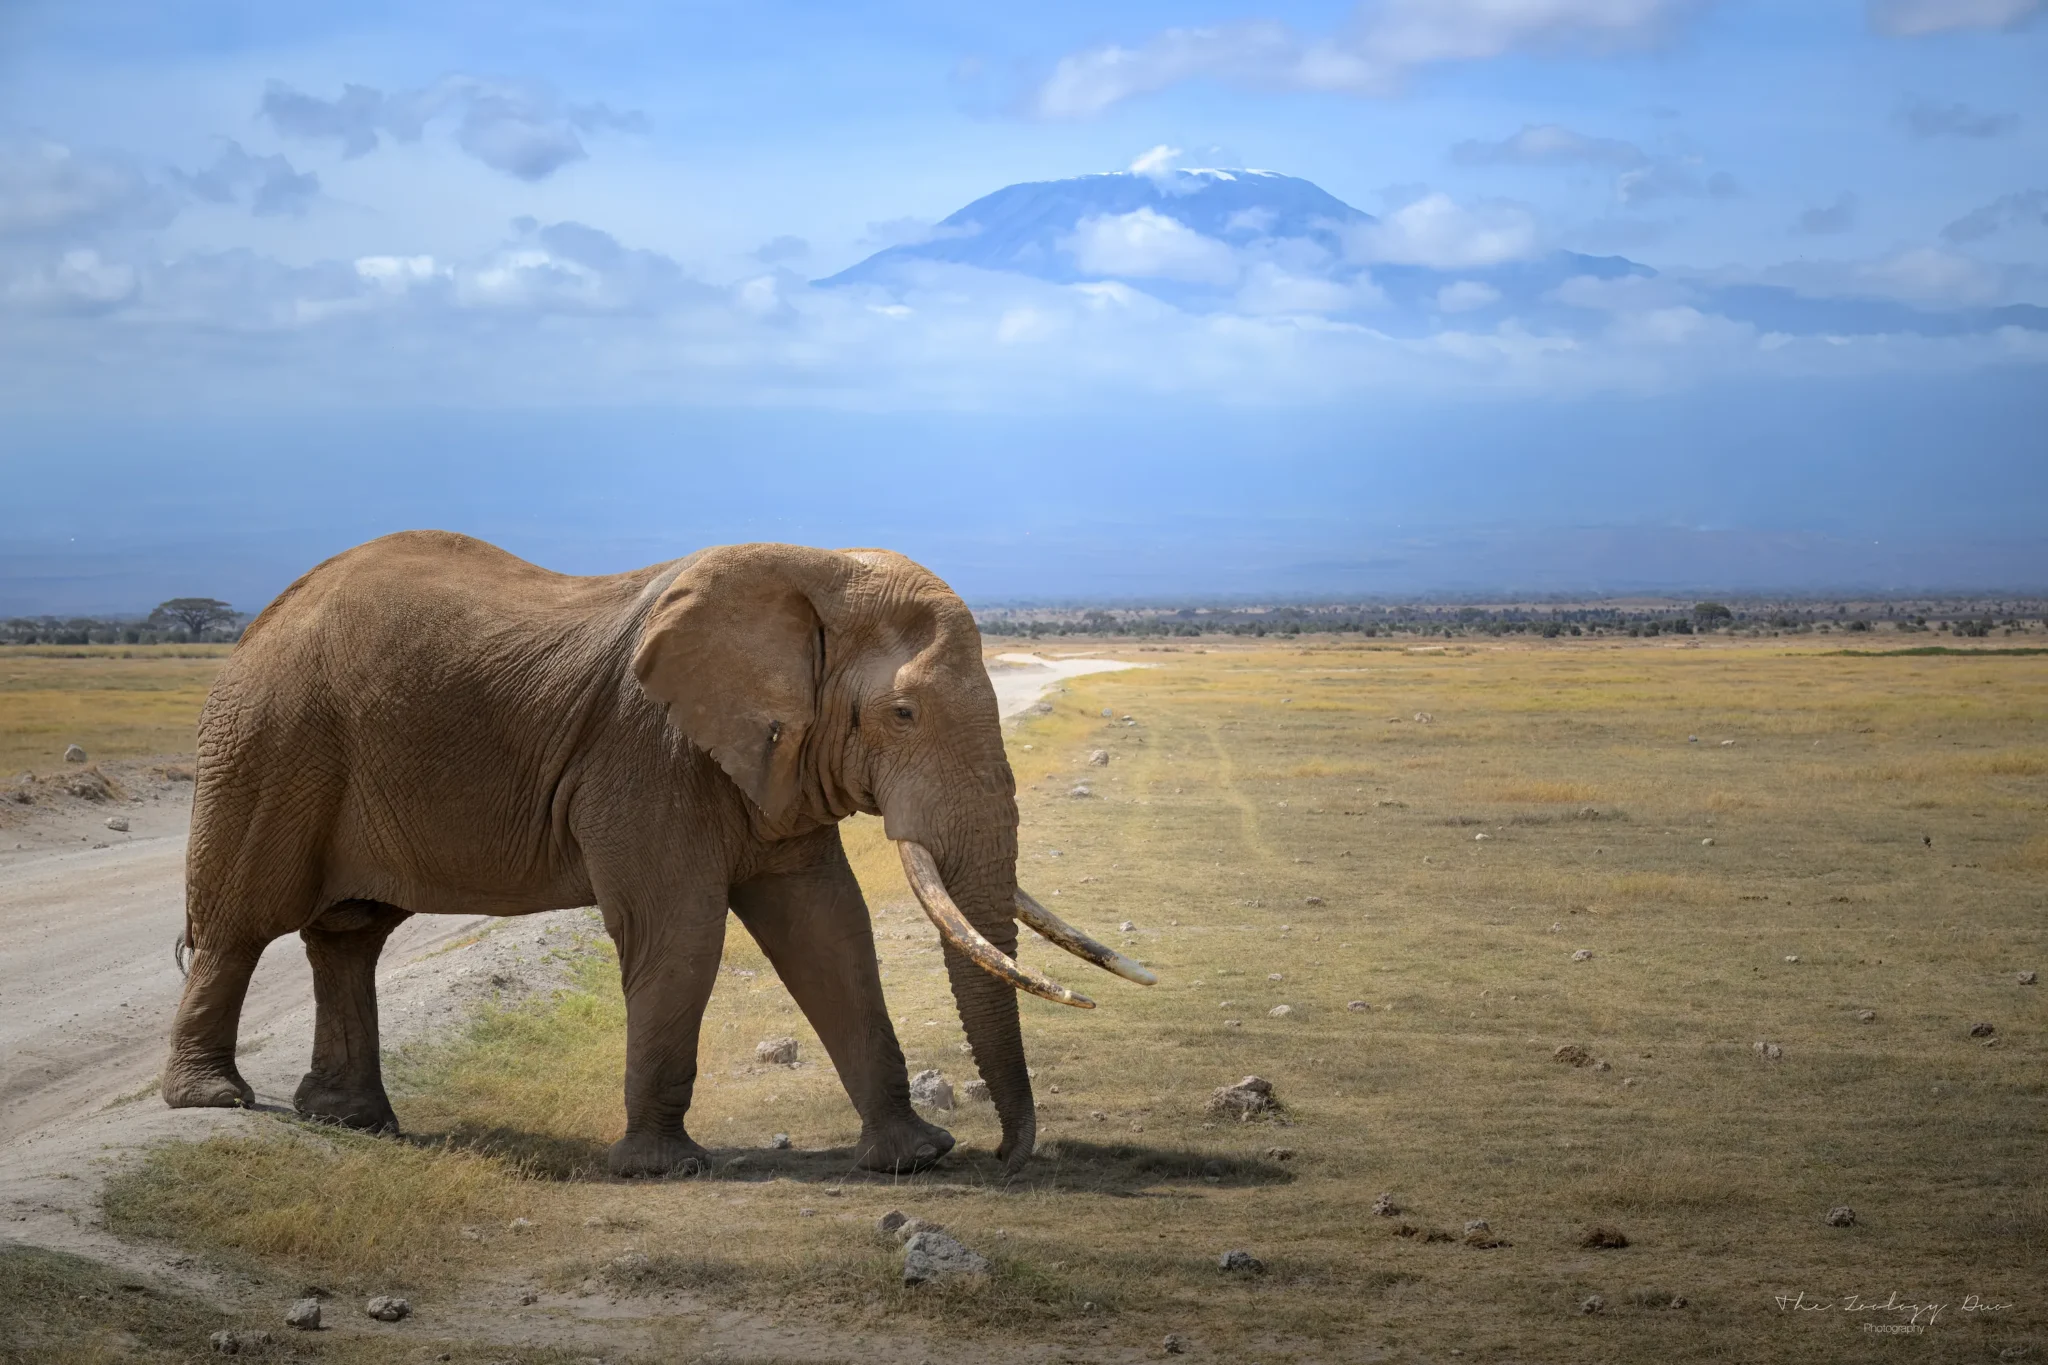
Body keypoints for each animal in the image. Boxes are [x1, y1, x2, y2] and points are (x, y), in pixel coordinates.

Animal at [162, 531, 1152, 1177]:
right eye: (903, 713)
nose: (1011, 1153)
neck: (810, 574)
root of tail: (258, 622)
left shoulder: (771, 757)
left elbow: (828, 926)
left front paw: (914, 1159)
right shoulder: (648, 753)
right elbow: (681, 931)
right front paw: (662, 1167)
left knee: (349, 936)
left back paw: (355, 1122)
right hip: (270, 744)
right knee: (241, 923)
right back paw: (213, 1101)